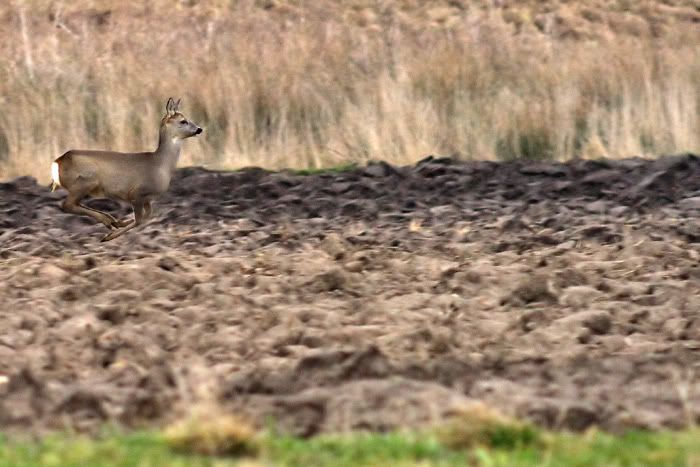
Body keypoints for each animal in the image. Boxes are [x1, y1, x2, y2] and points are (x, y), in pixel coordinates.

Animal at [49, 97, 201, 243]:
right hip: (85, 181)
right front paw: (108, 236)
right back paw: (109, 223)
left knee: (74, 204)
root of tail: (58, 162)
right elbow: (139, 220)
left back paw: (112, 220)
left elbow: (147, 217)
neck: (160, 165)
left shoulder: (147, 198)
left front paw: (117, 225)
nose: (199, 129)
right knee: (67, 204)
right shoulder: (136, 193)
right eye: (183, 121)